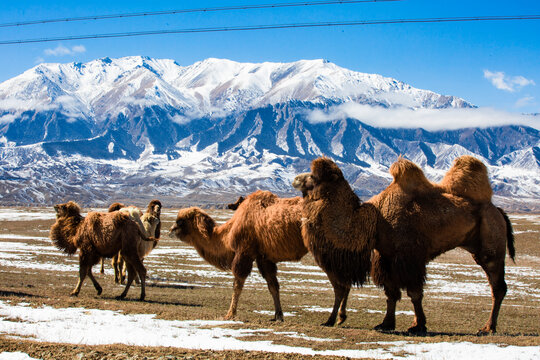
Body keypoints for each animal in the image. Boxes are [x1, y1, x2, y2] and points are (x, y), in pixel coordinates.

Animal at [169, 190, 308, 322]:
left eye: (180, 221)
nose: (170, 230)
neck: (228, 234)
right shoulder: (264, 258)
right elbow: (273, 286)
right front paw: (278, 316)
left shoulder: (244, 252)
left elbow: (237, 285)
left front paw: (230, 314)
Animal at [296, 156, 516, 334]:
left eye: (314, 177)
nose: (296, 179)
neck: (374, 222)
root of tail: (498, 210)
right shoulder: (385, 258)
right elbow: (391, 293)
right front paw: (386, 324)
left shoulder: (409, 258)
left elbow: (414, 293)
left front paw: (418, 326)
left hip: (491, 247)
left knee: (497, 286)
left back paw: (488, 328)